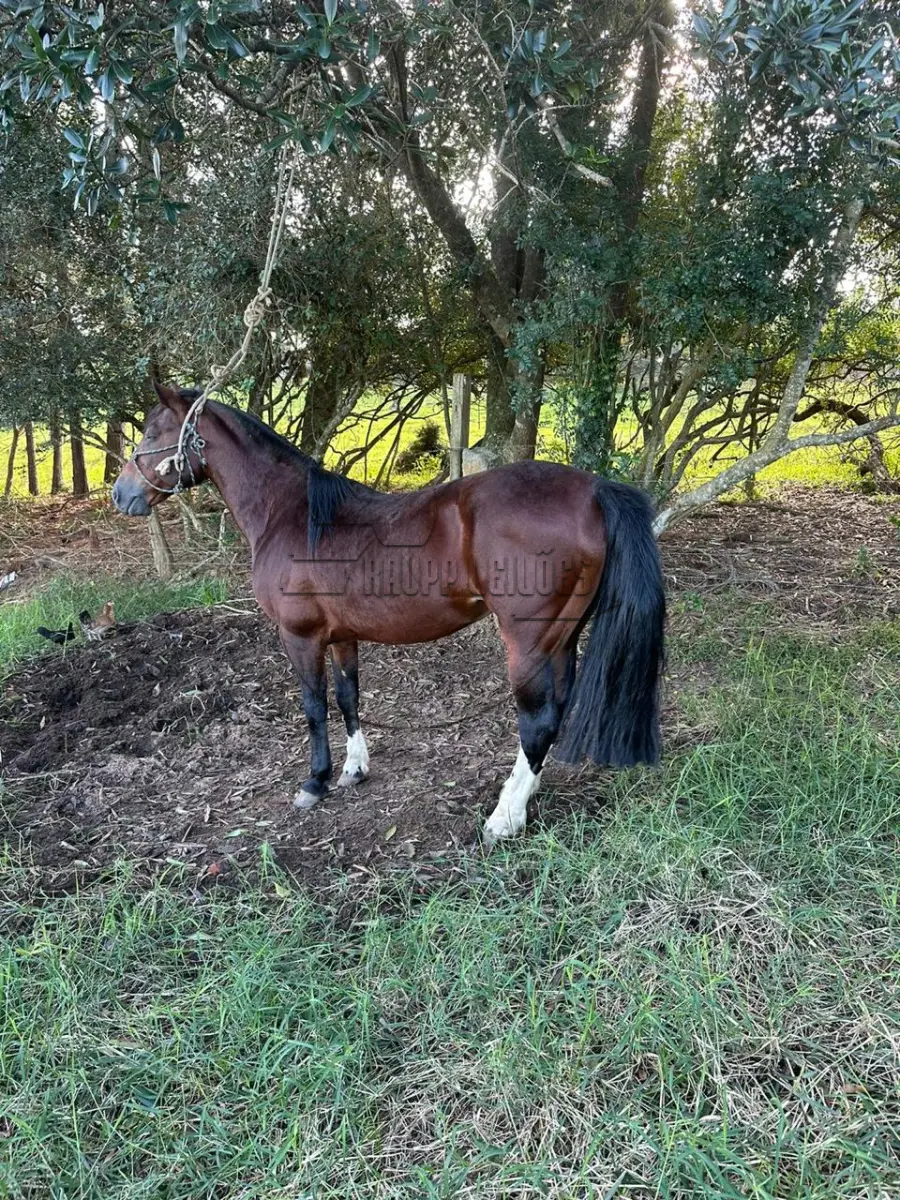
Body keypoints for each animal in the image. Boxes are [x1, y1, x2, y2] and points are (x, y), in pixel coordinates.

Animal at [112, 382, 665, 847]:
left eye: (153, 432)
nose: (121, 495)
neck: (291, 512)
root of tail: (593, 489)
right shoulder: (341, 635)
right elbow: (347, 697)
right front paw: (353, 770)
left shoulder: (300, 636)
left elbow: (313, 707)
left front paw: (315, 782)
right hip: (562, 637)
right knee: (557, 710)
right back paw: (528, 790)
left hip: (527, 643)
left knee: (537, 720)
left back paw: (505, 816)